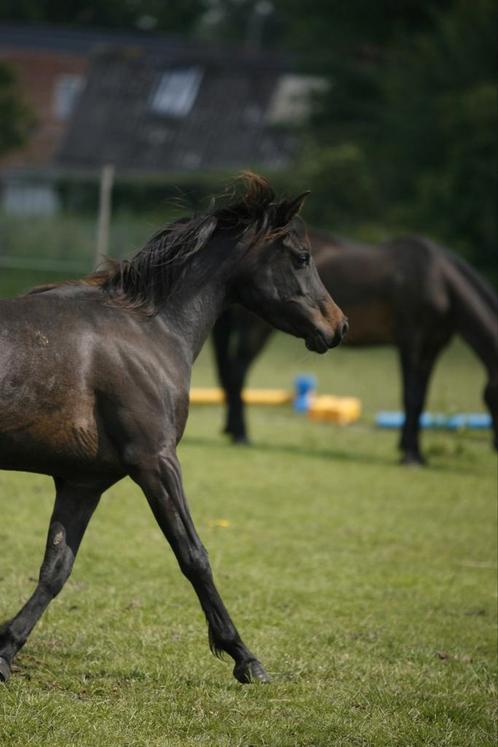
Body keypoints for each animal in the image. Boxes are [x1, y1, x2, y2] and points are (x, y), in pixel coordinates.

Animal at [0, 174, 346, 684]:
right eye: (301, 257)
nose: (339, 326)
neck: (149, 333)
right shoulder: (156, 462)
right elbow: (194, 555)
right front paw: (245, 658)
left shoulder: (82, 483)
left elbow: (55, 569)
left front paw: (6, 650)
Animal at [215, 231, 498, 464]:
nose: (496, 447)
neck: (437, 278)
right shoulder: (411, 343)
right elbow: (411, 396)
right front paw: (409, 455)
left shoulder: (433, 347)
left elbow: (420, 398)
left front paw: (414, 451)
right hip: (255, 329)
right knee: (237, 374)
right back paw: (241, 435)